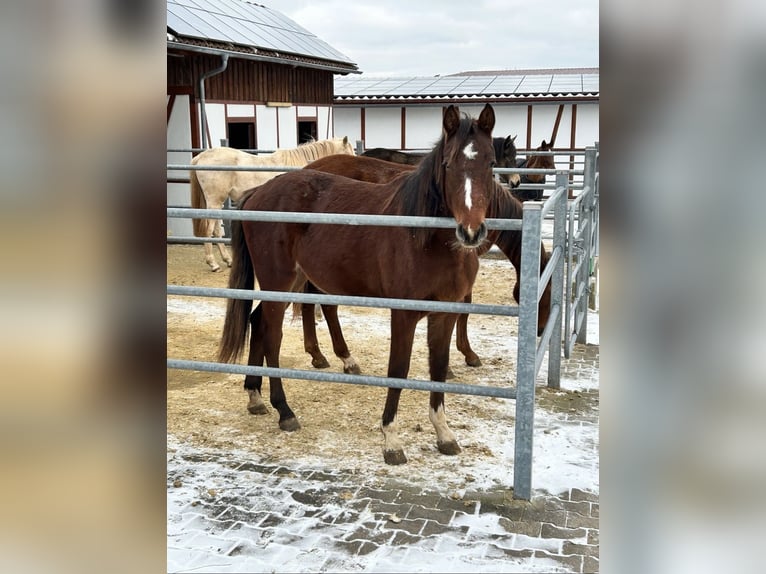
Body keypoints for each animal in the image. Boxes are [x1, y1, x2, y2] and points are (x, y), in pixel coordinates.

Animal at [189, 137, 356, 272]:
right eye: (349, 154)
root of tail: (200, 157)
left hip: (217, 203)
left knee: (217, 230)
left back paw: (227, 260)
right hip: (214, 201)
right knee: (209, 231)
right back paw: (213, 264)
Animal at [219, 104, 500, 468]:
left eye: (491, 163)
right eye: (449, 164)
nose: (471, 231)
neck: (424, 239)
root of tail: (258, 193)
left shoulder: (445, 313)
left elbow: (438, 368)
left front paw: (444, 434)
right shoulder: (404, 315)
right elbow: (399, 369)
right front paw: (391, 440)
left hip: (287, 282)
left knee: (258, 323)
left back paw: (255, 397)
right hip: (278, 282)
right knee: (272, 337)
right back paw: (285, 411)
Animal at [294, 155, 552, 376]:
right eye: (545, 292)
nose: (541, 329)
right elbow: (464, 308)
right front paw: (466, 355)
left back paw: (318, 354)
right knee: (326, 305)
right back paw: (341, 357)